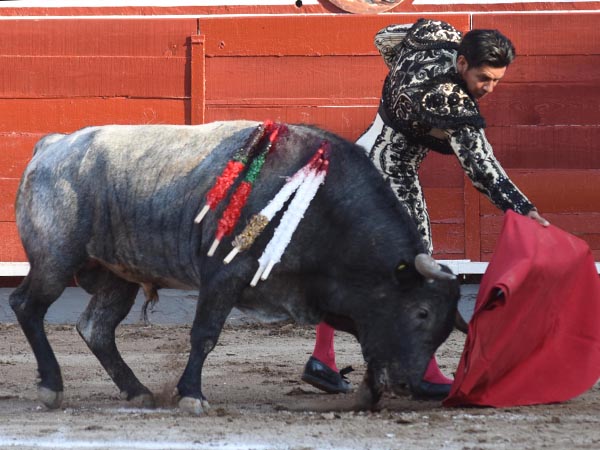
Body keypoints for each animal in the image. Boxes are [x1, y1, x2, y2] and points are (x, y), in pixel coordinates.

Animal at [8, 120, 460, 414]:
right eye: (421, 313)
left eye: (445, 326)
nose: (411, 384)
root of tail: (52, 145)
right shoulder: (224, 274)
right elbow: (205, 334)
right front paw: (192, 396)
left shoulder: (324, 294)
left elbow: (366, 338)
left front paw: (368, 393)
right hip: (55, 260)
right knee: (26, 306)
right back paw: (51, 387)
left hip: (119, 276)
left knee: (96, 327)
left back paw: (137, 391)